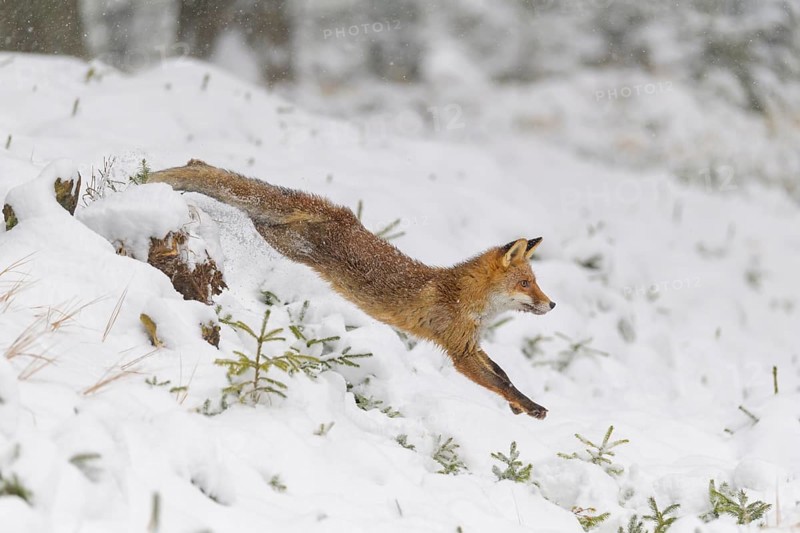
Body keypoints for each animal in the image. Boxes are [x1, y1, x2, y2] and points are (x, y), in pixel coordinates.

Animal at [149, 159, 556, 419]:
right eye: (526, 283)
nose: (551, 305)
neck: (465, 298)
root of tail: (338, 213)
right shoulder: (459, 349)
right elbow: (501, 382)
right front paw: (531, 407)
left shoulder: (472, 343)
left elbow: (503, 374)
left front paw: (518, 406)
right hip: (287, 242)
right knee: (233, 195)